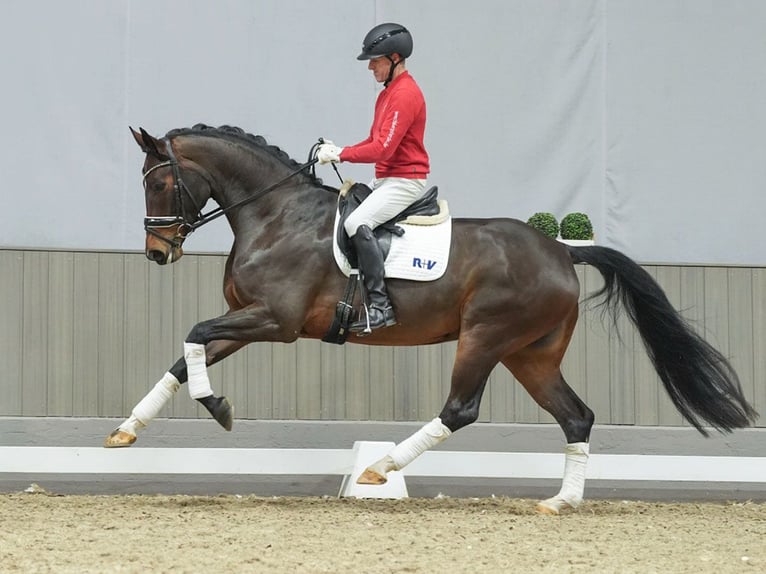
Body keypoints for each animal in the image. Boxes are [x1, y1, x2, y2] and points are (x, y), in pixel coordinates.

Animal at [105, 124, 760, 516]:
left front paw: (217, 408)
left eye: (161, 182)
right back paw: (560, 503)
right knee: (577, 416)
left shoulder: (273, 320)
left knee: (460, 409)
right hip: (531, 354)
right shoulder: (248, 317)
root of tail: (561, 250)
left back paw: (378, 468)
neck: (276, 214)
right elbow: (184, 357)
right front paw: (128, 430)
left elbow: (193, 336)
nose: (157, 253)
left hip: (486, 338)